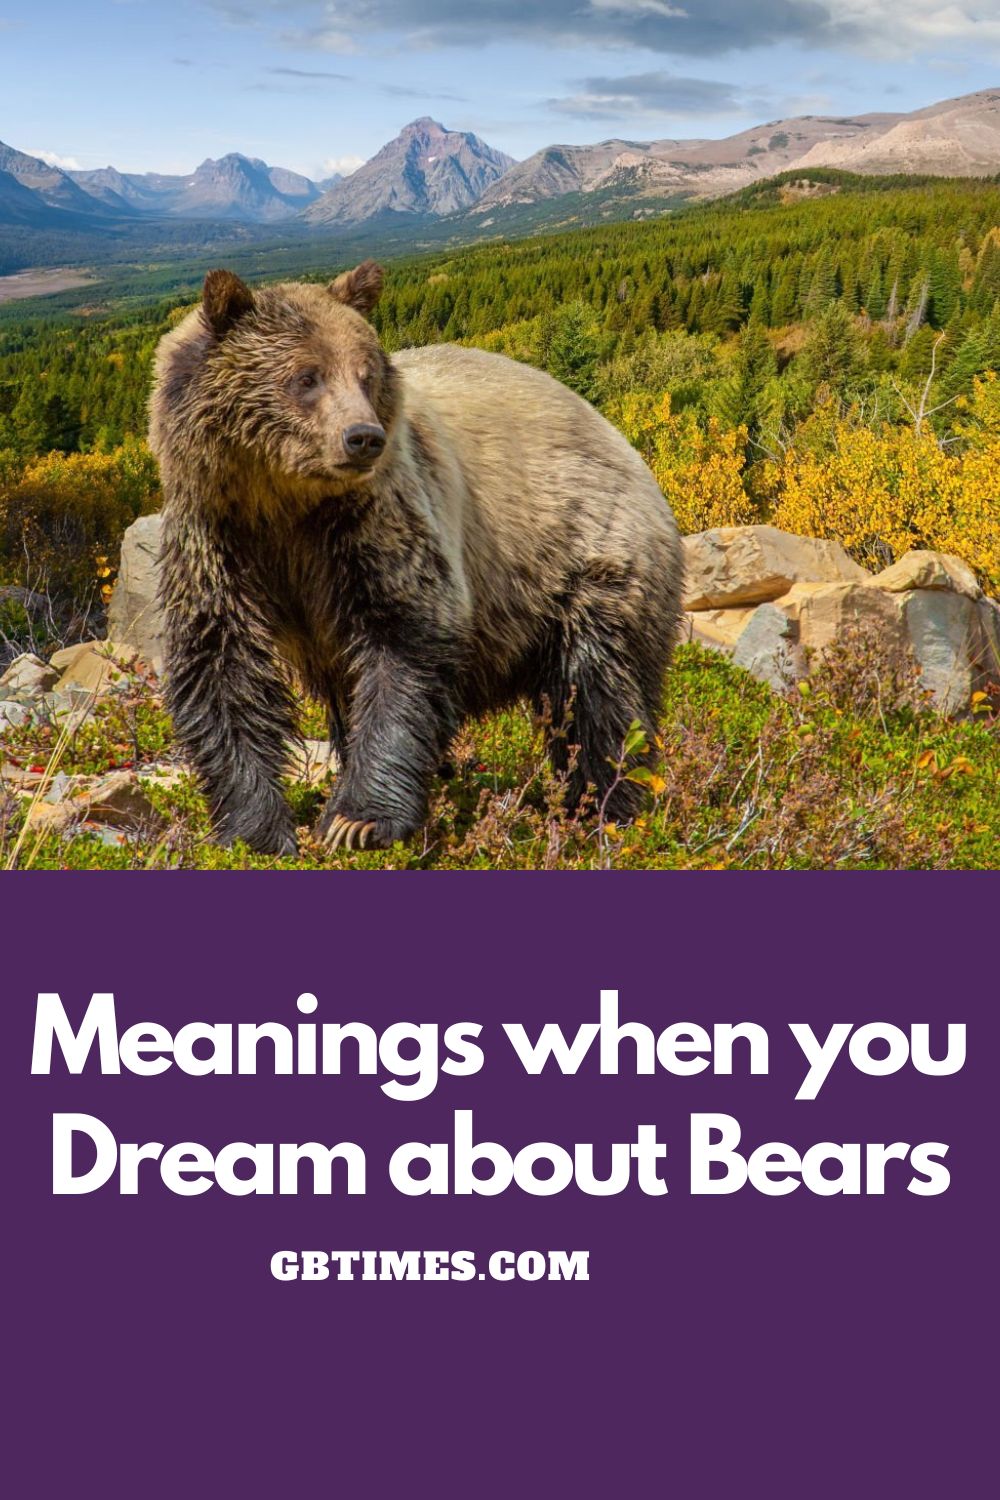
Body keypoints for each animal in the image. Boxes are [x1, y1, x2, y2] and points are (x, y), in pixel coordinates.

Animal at [148, 262, 683, 855]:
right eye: (306, 377)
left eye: (365, 374)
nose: (363, 437)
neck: (284, 503)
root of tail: (622, 443)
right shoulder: (220, 536)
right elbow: (222, 665)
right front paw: (257, 828)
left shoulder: (374, 522)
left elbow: (404, 640)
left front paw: (357, 820)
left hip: (588, 558)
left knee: (598, 693)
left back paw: (607, 807)